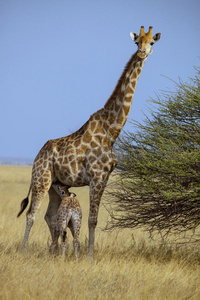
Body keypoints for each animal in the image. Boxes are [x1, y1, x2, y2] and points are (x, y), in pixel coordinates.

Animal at [17, 25, 161, 256]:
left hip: (57, 185)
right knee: (32, 214)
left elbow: (93, 220)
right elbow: (92, 220)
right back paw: (24, 251)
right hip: (41, 179)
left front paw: (85, 254)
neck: (112, 130)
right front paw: (90, 256)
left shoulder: (105, 177)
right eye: (136, 41)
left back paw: (53, 251)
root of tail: (37, 156)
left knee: (50, 215)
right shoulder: (97, 176)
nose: (141, 53)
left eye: (152, 42)